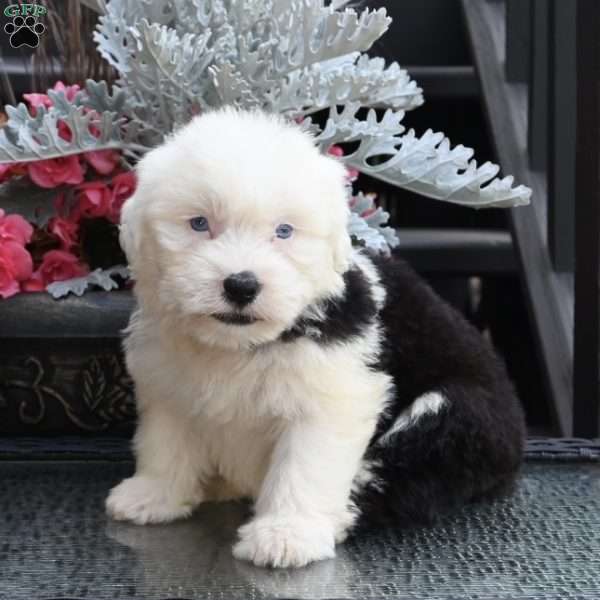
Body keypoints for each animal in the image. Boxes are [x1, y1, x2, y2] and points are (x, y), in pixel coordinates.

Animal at [108, 106, 524, 568]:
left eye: (284, 231)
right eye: (199, 224)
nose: (241, 285)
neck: (239, 345)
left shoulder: (330, 397)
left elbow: (304, 466)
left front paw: (287, 534)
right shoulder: (169, 384)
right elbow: (166, 442)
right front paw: (153, 495)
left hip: (453, 414)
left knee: (396, 477)